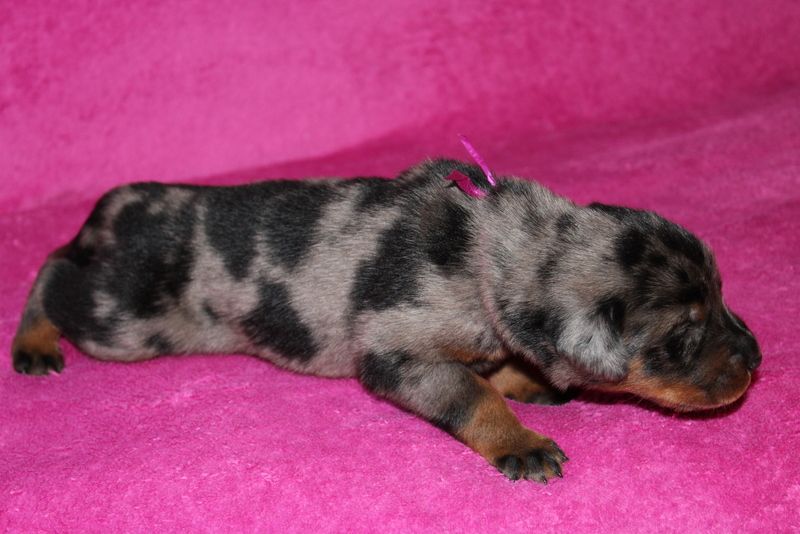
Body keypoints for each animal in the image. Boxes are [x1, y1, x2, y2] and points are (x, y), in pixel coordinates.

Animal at [11, 158, 761, 483]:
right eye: (680, 339)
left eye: (723, 294)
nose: (756, 359)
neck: (491, 255)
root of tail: (119, 207)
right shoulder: (398, 353)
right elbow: (473, 394)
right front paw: (521, 441)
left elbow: (500, 365)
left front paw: (527, 379)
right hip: (124, 321)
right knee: (52, 271)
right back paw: (34, 341)